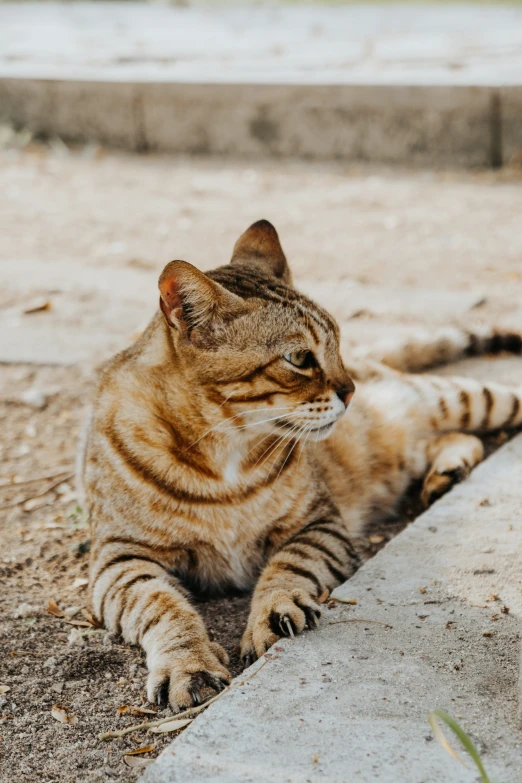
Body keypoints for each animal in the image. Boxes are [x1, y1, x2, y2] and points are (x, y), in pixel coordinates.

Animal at [81, 219, 520, 712]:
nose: (351, 389)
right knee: (447, 441)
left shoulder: (319, 524)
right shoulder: (121, 559)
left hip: (460, 399)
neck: (224, 453)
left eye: (337, 342)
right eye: (299, 358)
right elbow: (163, 607)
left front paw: (272, 613)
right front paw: (187, 663)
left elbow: (289, 567)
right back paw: (445, 471)